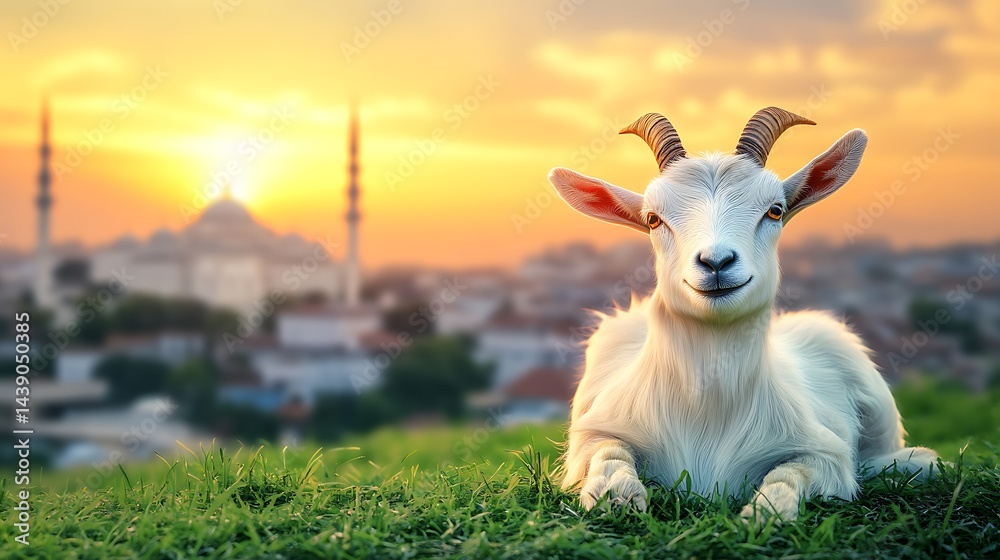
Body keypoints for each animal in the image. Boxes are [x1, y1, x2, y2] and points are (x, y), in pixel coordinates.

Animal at [550, 107, 938, 524]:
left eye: (775, 210)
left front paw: (766, 513)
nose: (716, 262)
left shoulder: (823, 451)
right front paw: (616, 496)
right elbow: (608, 452)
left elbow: (793, 471)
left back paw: (916, 463)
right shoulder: (597, 430)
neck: (709, 405)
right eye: (653, 219)